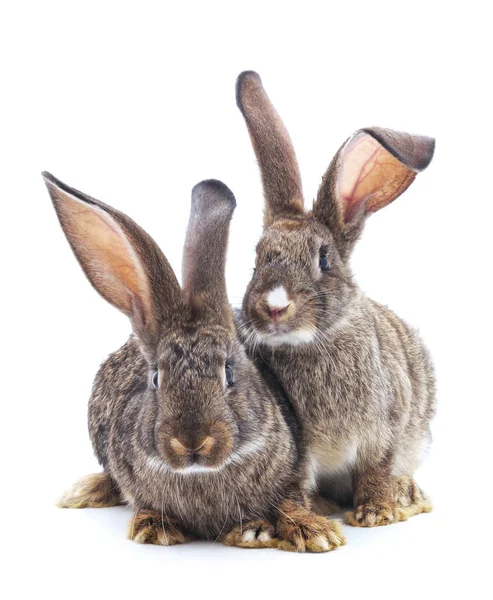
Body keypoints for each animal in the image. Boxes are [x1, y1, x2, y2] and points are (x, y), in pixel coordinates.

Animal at [43, 170, 346, 552]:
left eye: (229, 373)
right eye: (156, 378)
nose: (191, 442)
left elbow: (291, 502)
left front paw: (309, 532)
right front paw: (153, 528)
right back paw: (82, 491)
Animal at [234, 70, 434, 528]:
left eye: (323, 260)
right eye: (256, 261)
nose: (274, 307)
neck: (314, 343)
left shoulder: (384, 431)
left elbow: (376, 468)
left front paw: (376, 512)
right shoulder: (300, 448)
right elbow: (296, 480)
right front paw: (306, 517)